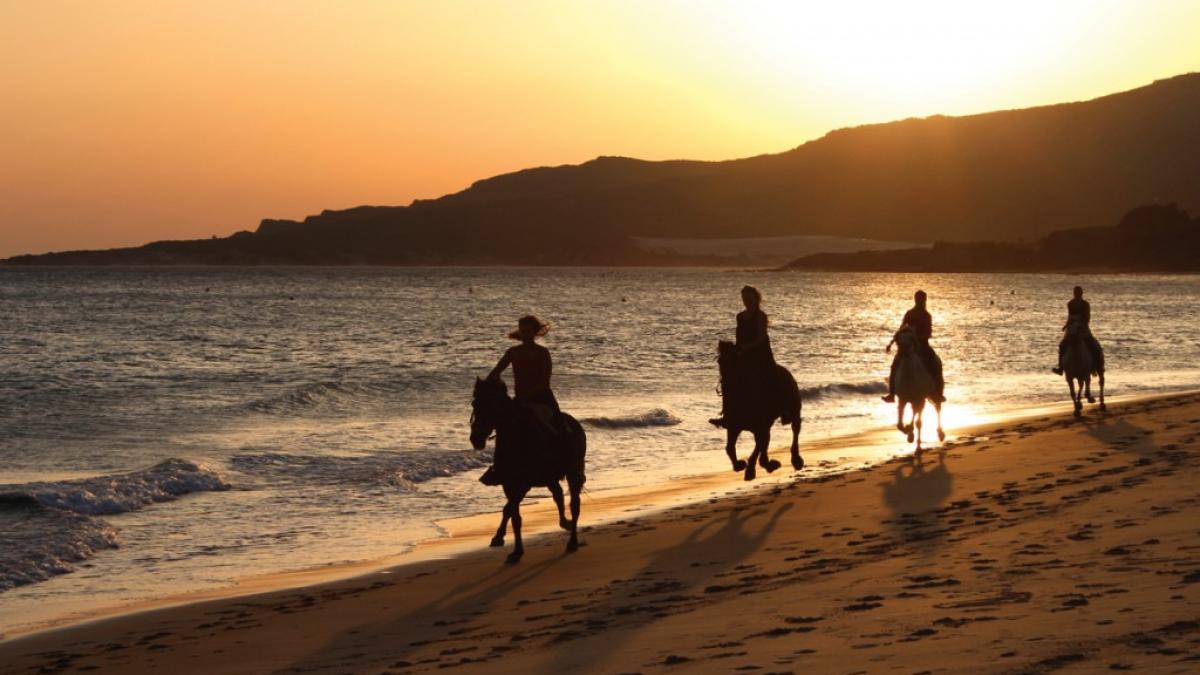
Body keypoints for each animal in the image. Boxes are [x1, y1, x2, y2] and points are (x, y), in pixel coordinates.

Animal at [470, 377, 587, 563]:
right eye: (474, 403)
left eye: (492, 404)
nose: (476, 438)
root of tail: (575, 423)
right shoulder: (510, 485)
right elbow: (513, 515)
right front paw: (513, 548)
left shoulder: (523, 485)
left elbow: (512, 512)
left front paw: (510, 545)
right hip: (549, 477)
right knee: (558, 494)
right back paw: (564, 522)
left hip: (573, 472)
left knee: (574, 504)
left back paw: (573, 541)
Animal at [715, 341, 803, 481]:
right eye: (719, 361)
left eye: (734, 361)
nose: (725, 383)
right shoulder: (734, 427)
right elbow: (730, 447)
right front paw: (740, 465)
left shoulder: (760, 427)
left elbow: (758, 446)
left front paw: (751, 469)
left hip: (793, 408)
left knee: (795, 428)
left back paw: (796, 459)